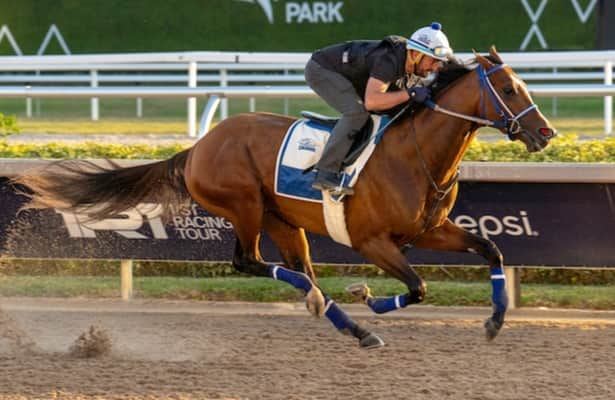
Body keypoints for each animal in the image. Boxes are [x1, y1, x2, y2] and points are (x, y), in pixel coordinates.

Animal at [14, 46, 560, 346]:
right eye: (510, 88)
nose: (546, 133)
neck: (416, 154)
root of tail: (197, 148)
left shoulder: (430, 229)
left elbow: (492, 249)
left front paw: (494, 321)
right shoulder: (371, 241)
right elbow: (420, 287)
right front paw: (371, 296)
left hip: (283, 219)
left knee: (302, 272)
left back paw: (351, 326)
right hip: (244, 206)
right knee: (251, 263)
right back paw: (338, 310)